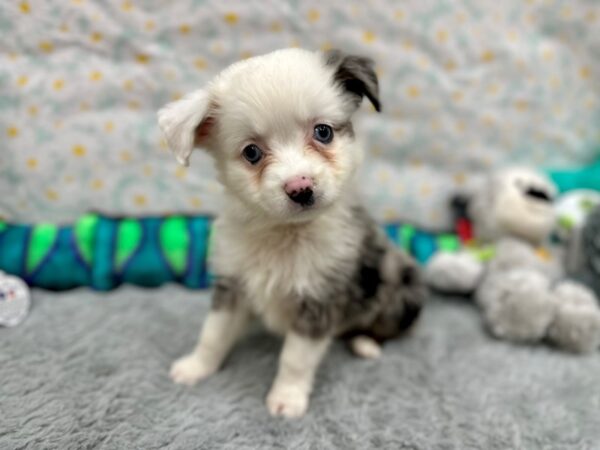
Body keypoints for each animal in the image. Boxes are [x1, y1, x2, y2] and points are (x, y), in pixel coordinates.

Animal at [157, 47, 424, 416]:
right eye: (251, 152)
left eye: (323, 132)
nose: (301, 188)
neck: (284, 233)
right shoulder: (233, 284)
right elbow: (213, 333)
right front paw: (197, 366)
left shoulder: (319, 298)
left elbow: (295, 358)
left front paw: (286, 398)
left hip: (401, 287)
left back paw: (366, 343)